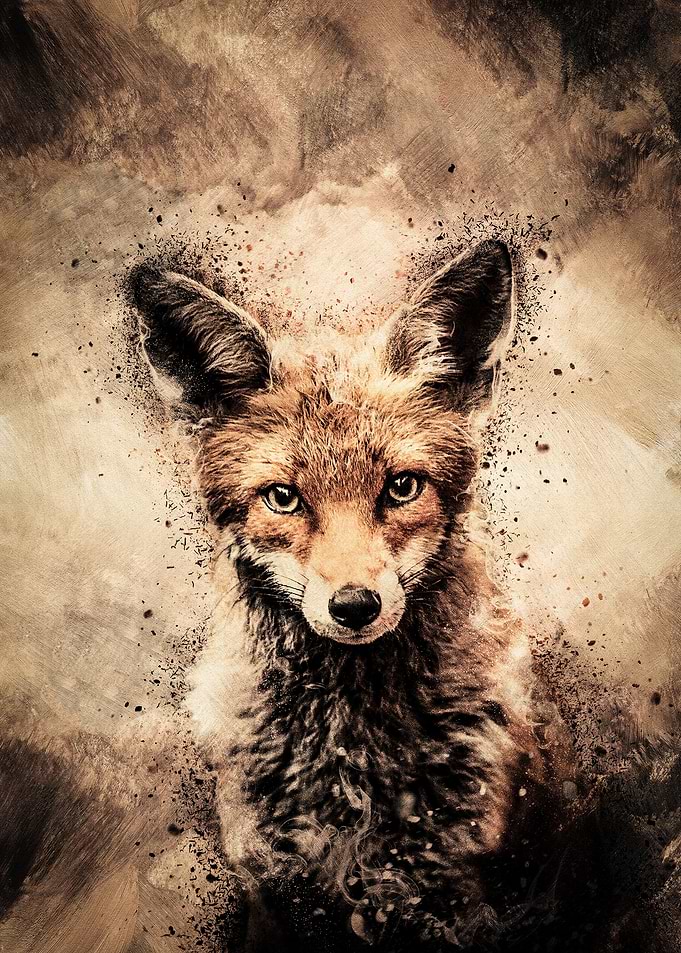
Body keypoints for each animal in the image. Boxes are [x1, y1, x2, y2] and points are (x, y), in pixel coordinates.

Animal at [129, 241, 585, 953]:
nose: (354, 607)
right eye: (282, 497)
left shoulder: (451, 886)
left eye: (402, 487)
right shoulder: (276, 881)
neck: (350, 752)